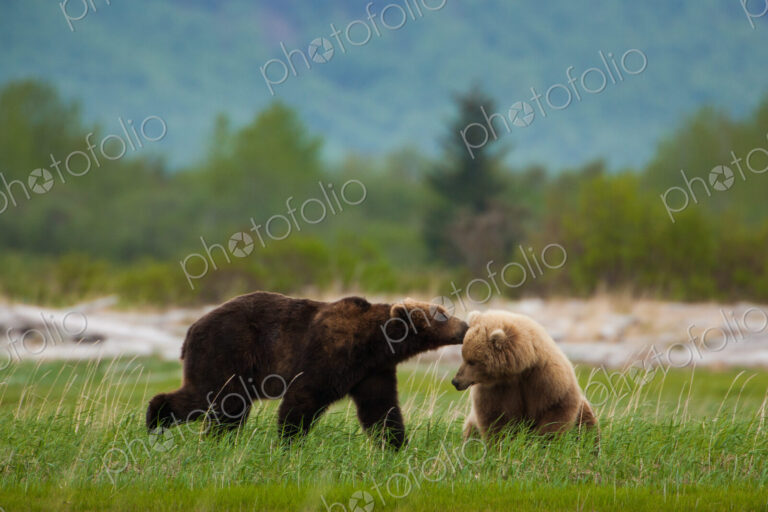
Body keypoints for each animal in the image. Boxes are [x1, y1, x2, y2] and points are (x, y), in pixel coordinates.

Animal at [147, 292, 468, 449]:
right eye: (442, 314)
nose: (464, 326)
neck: (374, 342)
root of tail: (190, 328)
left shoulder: (372, 371)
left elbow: (380, 408)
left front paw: (395, 444)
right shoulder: (330, 353)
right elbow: (304, 398)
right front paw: (288, 441)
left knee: (216, 401)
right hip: (226, 350)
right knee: (218, 398)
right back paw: (162, 422)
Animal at [451, 310, 598, 441]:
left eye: (472, 361)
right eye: (464, 356)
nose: (456, 381)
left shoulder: (546, 378)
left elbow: (556, 409)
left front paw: (542, 441)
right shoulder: (495, 390)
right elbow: (495, 418)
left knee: (587, 422)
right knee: (470, 431)